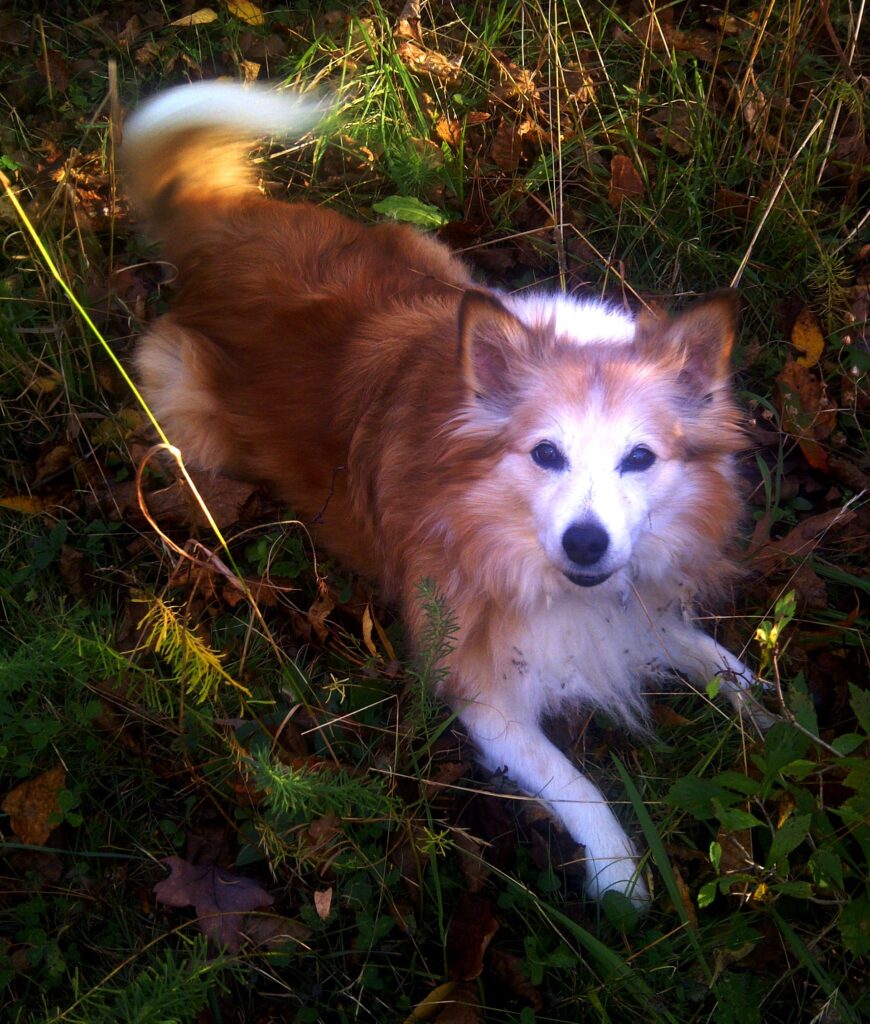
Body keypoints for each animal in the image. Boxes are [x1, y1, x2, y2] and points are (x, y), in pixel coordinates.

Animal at [121, 83, 761, 909]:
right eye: (545, 454)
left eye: (640, 458)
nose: (586, 543)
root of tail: (224, 227)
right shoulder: (475, 681)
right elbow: (573, 779)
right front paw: (620, 873)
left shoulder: (628, 606)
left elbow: (708, 653)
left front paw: (775, 714)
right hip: (178, 390)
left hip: (442, 264)